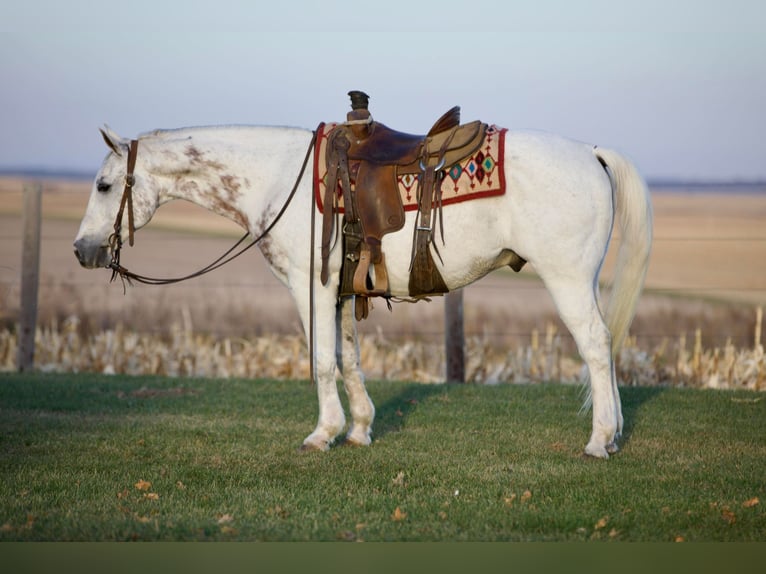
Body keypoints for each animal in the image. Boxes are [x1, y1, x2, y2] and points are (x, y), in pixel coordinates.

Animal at [75, 121, 656, 460]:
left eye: (103, 185)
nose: (82, 250)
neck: (278, 179)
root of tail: (593, 153)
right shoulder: (339, 292)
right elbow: (348, 358)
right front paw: (357, 430)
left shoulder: (308, 285)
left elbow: (322, 361)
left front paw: (322, 433)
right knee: (606, 344)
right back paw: (614, 433)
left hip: (567, 279)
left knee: (595, 346)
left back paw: (599, 440)